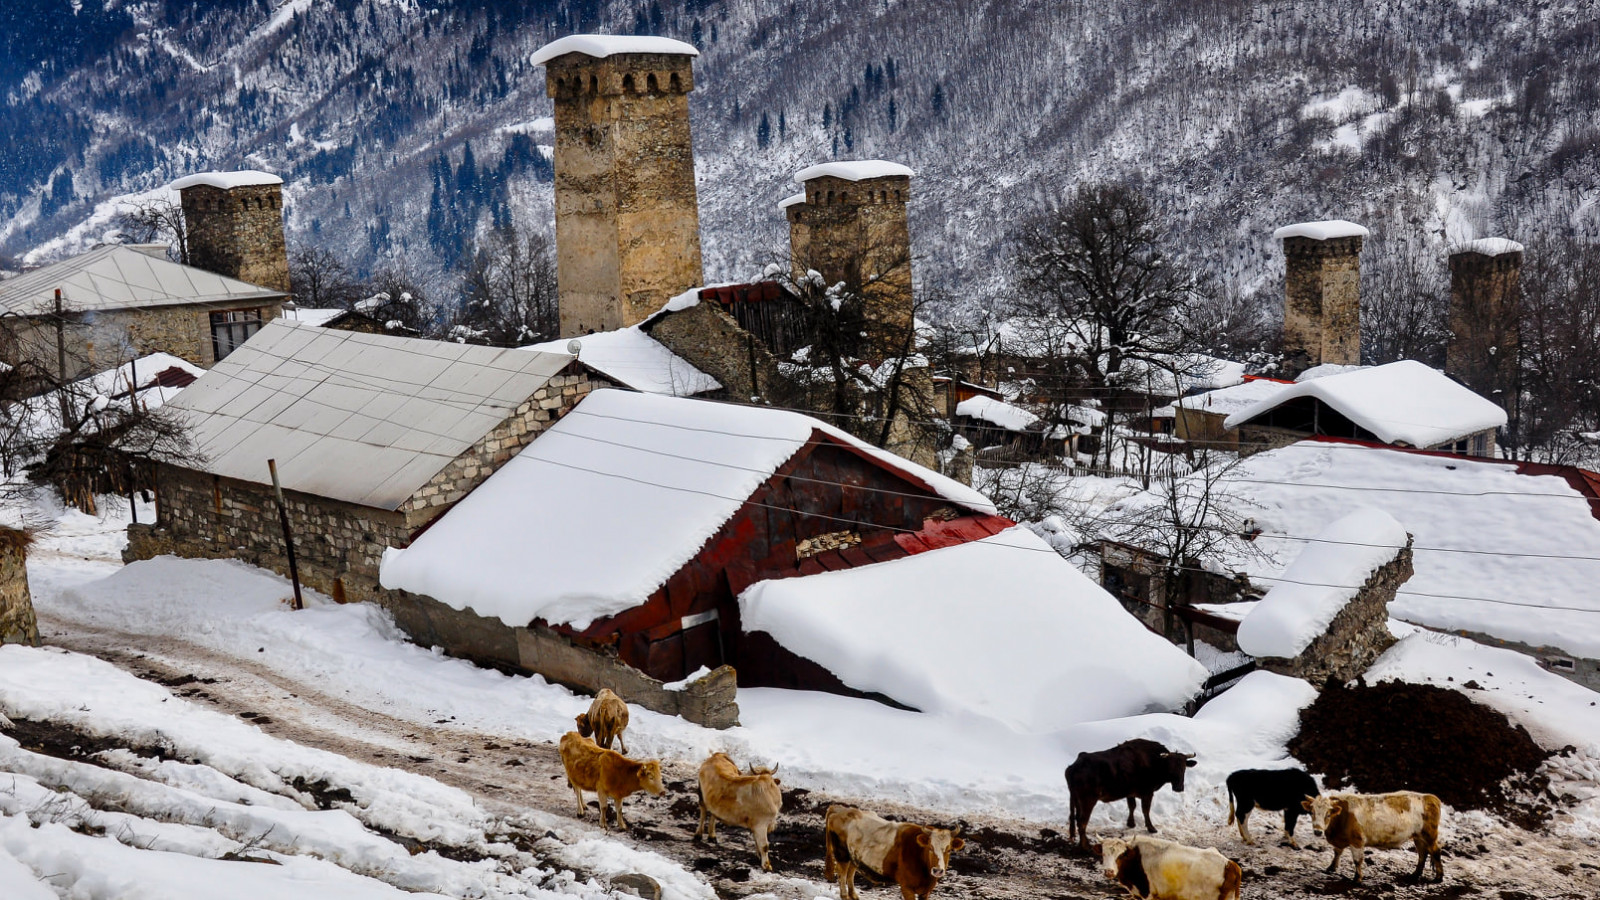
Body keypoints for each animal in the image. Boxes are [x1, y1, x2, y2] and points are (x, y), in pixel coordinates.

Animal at [825, 797, 960, 896]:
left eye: (949, 850)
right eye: (930, 848)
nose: (938, 870)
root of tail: (839, 809)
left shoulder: (925, 891)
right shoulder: (907, 887)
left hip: (855, 858)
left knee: (850, 877)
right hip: (842, 855)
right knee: (842, 879)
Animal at [1068, 736, 1196, 845]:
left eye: (1184, 767)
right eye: (1170, 767)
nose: (1179, 788)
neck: (1153, 762)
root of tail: (1074, 766)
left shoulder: (1130, 792)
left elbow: (1132, 806)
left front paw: (1131, 823)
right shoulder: (1147, 793)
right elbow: (1145, 810)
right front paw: (1151, 828)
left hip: (1076, 800)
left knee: (1075, 818)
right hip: (1087, 801)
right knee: (1082, 821)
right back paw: (1085, 845)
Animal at [1299, 787, 1452, 877]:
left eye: (1328, 814)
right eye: (1312, 812)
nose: (1318, 831)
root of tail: (1429, 797)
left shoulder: (1357, 841)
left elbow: (1357, 860)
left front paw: (1357, 879)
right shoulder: (1340, 839)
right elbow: (1337, 852)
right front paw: (1331, 868)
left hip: (1430, 835)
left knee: (1435, 852)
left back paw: (1439, 877)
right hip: (1418, 836)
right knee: (1422, 853)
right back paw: (1415, 874)